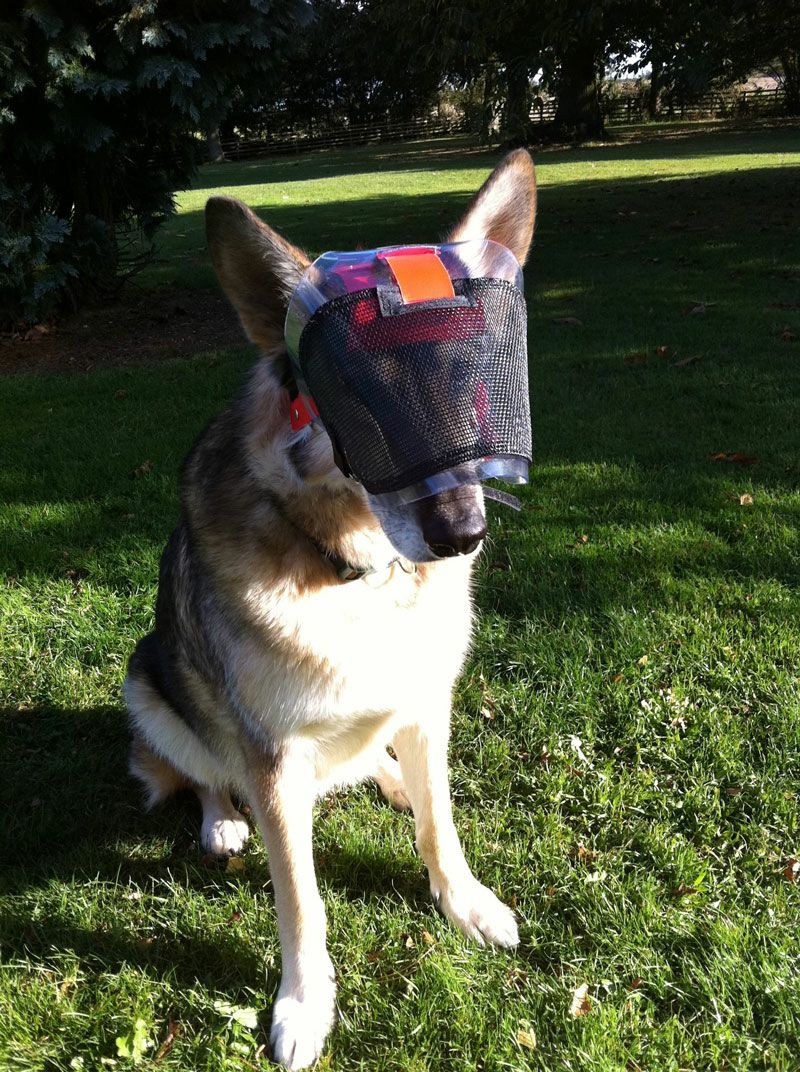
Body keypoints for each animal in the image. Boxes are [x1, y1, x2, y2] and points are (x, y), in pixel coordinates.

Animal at [124, 148, 536, 1070]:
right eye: (360, 395)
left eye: (470, 377)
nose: (463, 532)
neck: (357, 573)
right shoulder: (273, 757)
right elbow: (302, 904)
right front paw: (304, 1006)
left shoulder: (427, 703)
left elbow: (442, 827)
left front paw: (465, 903)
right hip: (147, 682)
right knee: (198, 771)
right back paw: (221, 822)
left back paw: (386, 778)